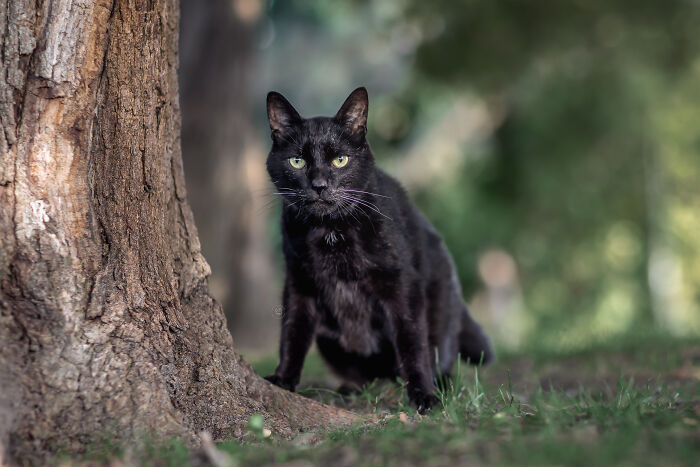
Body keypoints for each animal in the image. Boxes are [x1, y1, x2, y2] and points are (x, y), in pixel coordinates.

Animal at [262, 88, 492, 414]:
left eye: (340, 160)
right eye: (297, 161)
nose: (319, 185)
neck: (332, 233)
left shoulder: (401, 284)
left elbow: (412, 341)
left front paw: (424, 396)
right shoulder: (299, 282)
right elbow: (291, 333)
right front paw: (283, 378)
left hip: (441, 315)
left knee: (442, 355)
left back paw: (438, 385)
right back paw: (353, 389)